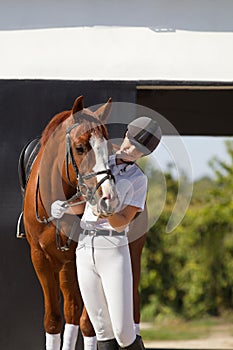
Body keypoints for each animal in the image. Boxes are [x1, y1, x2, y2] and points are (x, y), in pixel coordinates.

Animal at [21, 95, 118, 350]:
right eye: (80, 148)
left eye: (107, 149)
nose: (108, 197)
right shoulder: (40, 258)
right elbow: (54, 319)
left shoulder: (82, 260)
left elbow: (89, 323)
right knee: (71, 311)